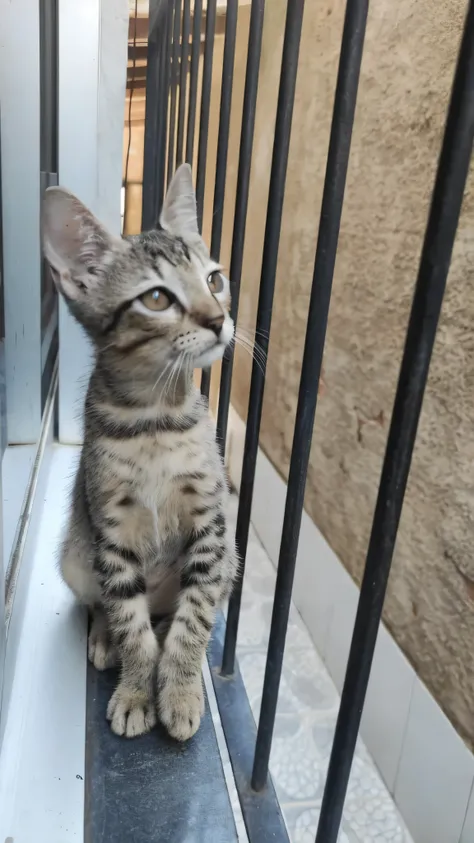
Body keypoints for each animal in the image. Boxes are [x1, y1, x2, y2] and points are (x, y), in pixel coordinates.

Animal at [43, 163, 239, 740]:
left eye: (214, 279)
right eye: (156, 299)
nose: (219, 319)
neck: (154, 419)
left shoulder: (209, 527)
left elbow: (193, 622)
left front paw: (179, 690)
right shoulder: (112, 534)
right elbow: (131, 626)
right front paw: (135, 691)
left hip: (231, 560)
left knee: (178, 613)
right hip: (77, 556)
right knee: (109, 606)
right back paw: (104, 637)